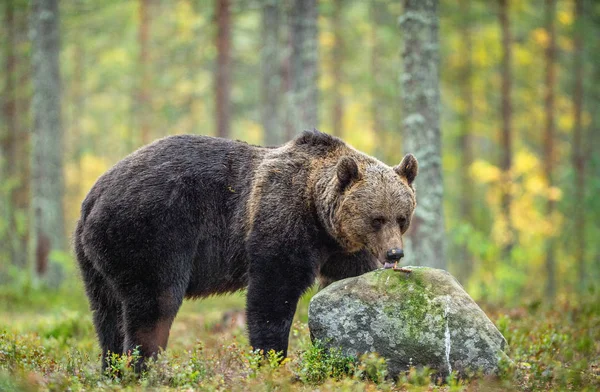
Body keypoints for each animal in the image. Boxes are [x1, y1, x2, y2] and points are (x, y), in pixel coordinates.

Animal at [74, 129, 418, 370]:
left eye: (402, 217)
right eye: (377, 218)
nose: (394, 254)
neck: (318, 215)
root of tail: (94, 195)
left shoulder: (340, 249)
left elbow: (347, 280)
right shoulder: (281, 221)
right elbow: (271, 293)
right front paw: (271, 360)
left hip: (96, 261)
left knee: (107, 314)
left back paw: (113, 369)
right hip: (150, 233)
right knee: (154, 304)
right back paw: (143, 369)